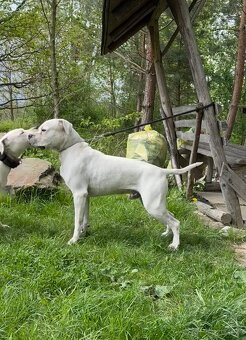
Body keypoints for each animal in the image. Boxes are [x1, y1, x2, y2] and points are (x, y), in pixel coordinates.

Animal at [28, 119, 202, 250]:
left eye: (43, 130)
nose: (29, 135)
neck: (71, 148)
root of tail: (161, 170)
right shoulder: (85, 196)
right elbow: (84, 219)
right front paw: (84, 234)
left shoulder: (78, 194)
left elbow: (77, 221)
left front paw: (74, 240)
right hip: (156, 203)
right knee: (170, 217)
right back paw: (167, 235)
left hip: (153, 206)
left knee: (176, 222)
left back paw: (174, 245)